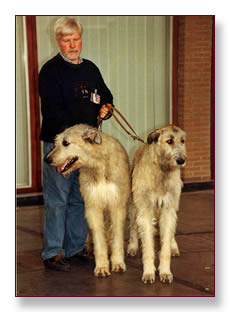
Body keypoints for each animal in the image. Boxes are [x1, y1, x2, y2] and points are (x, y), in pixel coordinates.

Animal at [45, 123, 130, 276]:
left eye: (65, 143)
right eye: (55, 142)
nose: (47, 160)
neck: (99, 165)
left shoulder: (117, 205)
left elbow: (117, 235)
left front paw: (117, 262)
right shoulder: (93, 205)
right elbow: (98, 237)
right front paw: (102, 266)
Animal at [127, 124, 187, 282]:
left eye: (182, 141)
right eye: (169, 141)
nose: (181, 161)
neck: (162, 170)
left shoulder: (168, 209)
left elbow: (165, 243)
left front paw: (165, 272)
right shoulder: (145, 210)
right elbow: (148, 245)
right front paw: (148, 272)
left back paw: (173, 246)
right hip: (134, 205)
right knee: (134, 226)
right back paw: (132, 246)